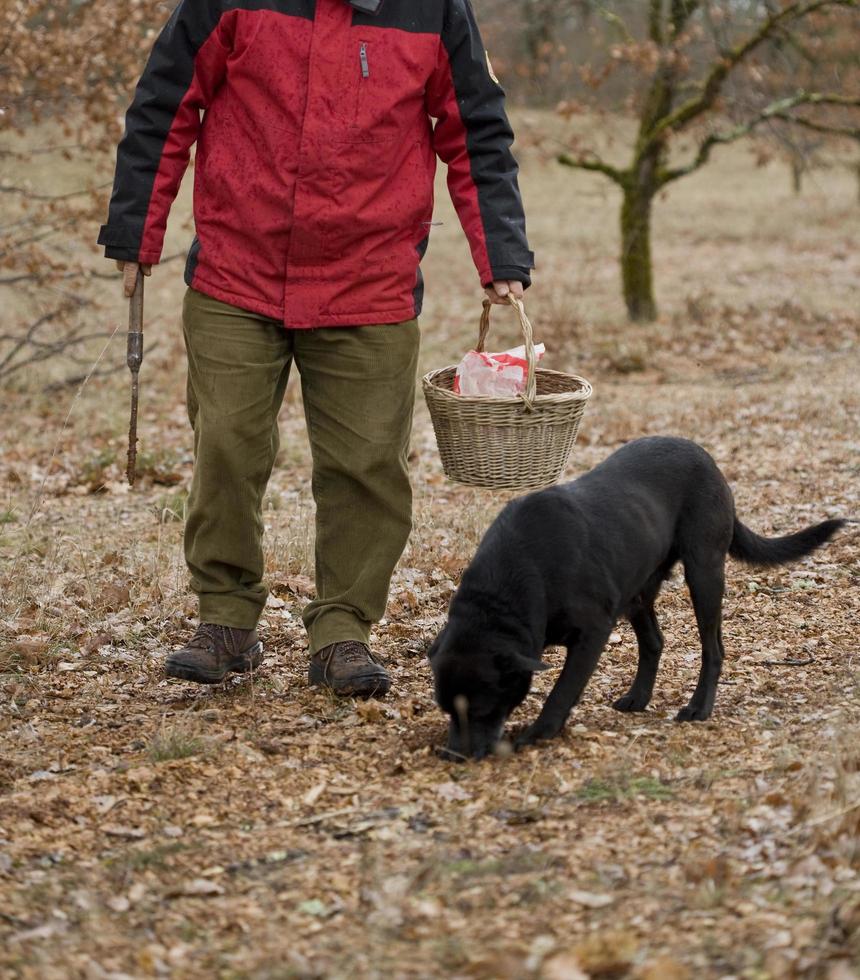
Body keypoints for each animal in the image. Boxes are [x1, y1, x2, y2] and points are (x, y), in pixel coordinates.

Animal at [426, 436, 844, 756]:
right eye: (446, 710)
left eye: (480, 710)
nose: (453, 755)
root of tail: (704, 456)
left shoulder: (592, 631)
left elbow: (563, 689)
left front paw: (538, 732)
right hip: (638, 588)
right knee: (655, 641)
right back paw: (638, 698)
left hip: (704, 571)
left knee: (713, 648)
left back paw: (699, 707)